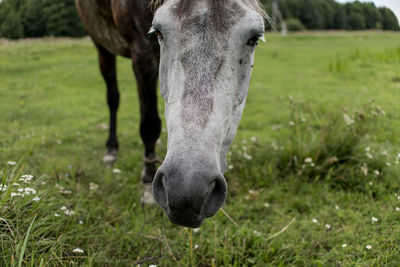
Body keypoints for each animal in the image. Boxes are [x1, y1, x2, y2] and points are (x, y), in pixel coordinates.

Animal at [76, 0, 266, 228]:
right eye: (158, 31)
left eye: (254, 38)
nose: (188, 193)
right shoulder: (141, 52)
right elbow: (149, 124)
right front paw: (147, 185)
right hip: (102, 45)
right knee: (113, 97)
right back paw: (111, 150)